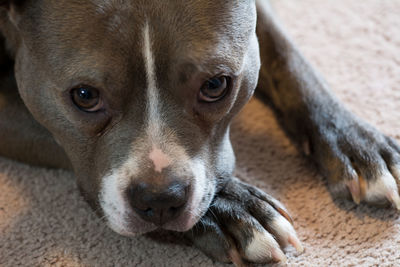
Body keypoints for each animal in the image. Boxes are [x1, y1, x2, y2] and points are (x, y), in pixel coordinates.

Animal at [0, 0, 400, 266]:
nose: (161, 199)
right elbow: (50, 134)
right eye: (84, 95)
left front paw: (357, 144)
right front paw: (234, 210)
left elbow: (289, 58)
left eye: (215, 85)